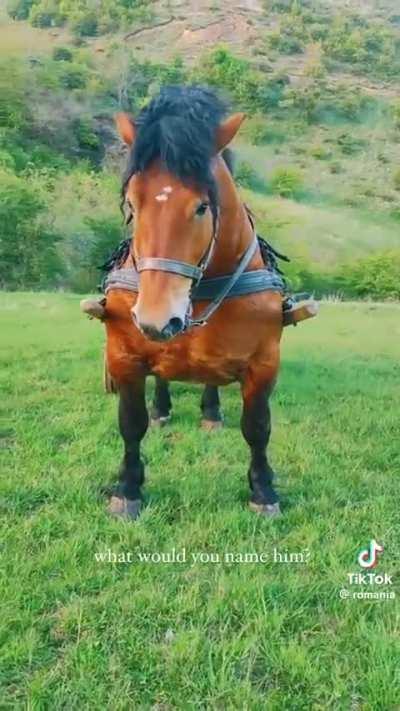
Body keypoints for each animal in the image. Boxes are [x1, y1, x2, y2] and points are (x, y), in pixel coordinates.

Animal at [103, 85, 285, 520]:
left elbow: (257, 427)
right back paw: (163, 408)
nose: (156, 319)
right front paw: (128, 489)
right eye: (132, 204)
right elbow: (131, 423)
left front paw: (263, 492)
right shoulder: (124, 355)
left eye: (203, 206)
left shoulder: (265, 363)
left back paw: (211, 412)